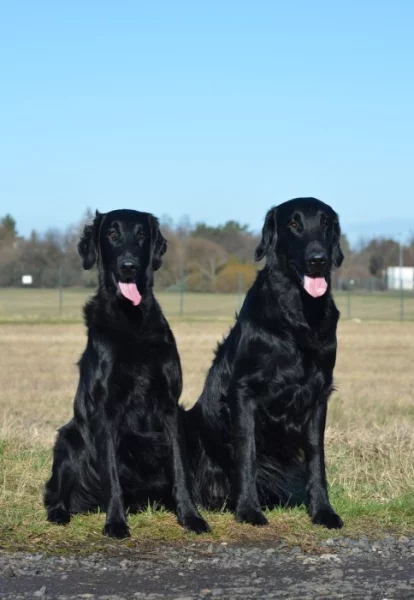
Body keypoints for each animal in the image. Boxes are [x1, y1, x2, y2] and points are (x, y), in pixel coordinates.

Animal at [44, 209, 210, 536]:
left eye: (142, 235)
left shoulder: (169, 406)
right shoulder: (105, 412)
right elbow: (112, 476)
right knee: (53, 493)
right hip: (70, 440)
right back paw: (60, 513)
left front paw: (190, 516)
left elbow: (180, 469)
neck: (131, 319)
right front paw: (116, 523)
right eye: (111, 234)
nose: (129, 266)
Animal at [186, 198, 344, 528]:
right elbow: (247, 453)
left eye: (325, 223)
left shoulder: (319, 395)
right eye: (293, 224)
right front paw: (248, 509)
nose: (318, 260)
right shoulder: (244, 392)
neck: (298, 317)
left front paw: (323, 511)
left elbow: (316, 457)